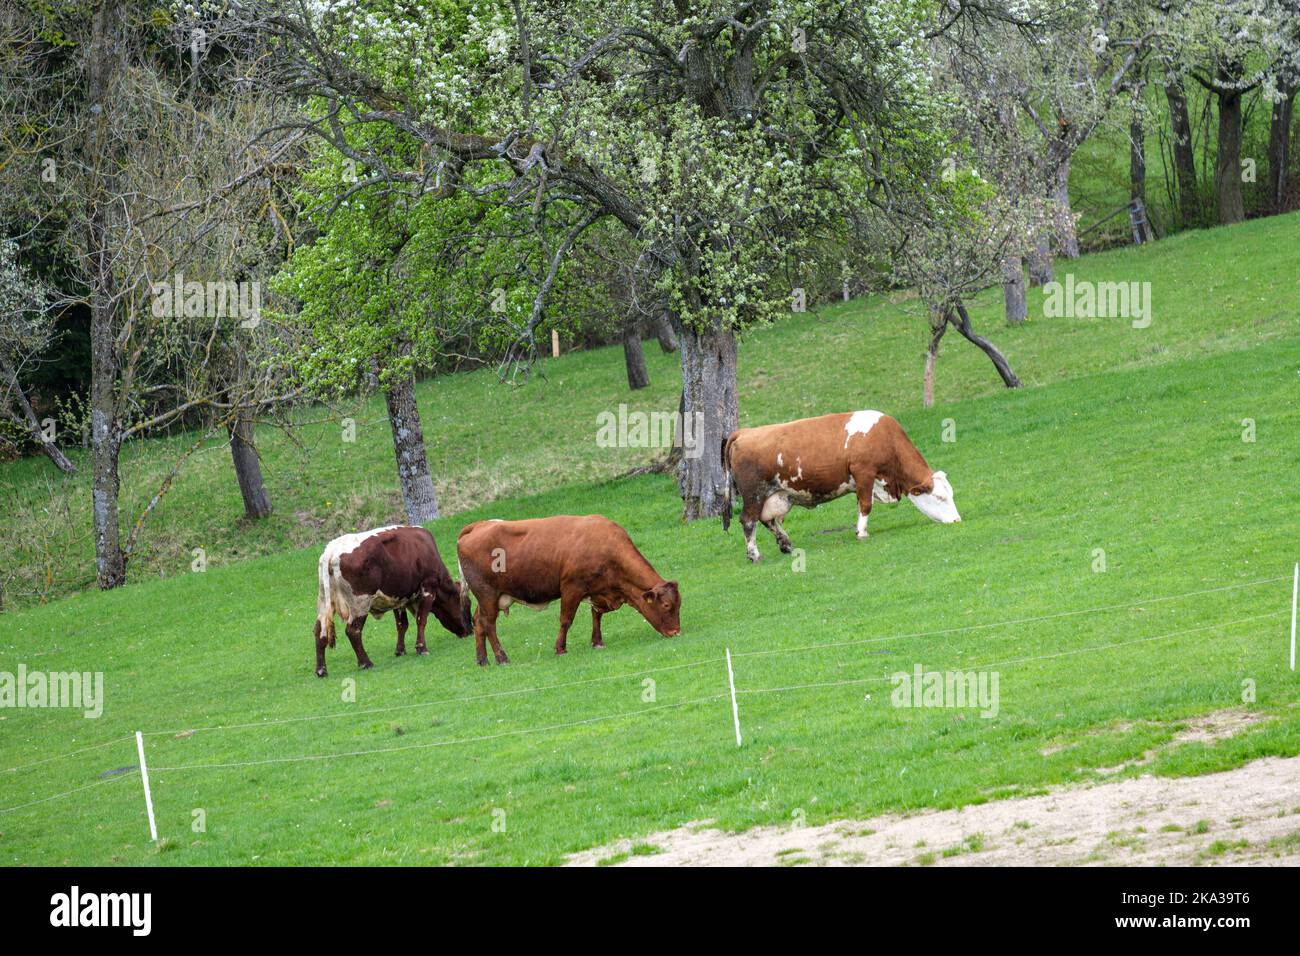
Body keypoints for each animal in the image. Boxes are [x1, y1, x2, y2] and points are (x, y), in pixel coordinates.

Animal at [313, 525, 473, 677]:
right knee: (353, 631)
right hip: (360, 604)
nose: (470, 631)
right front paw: (421, 648)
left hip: (324, 604)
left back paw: (321, 670)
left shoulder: (398, 598)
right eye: (467, 605)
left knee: (319, 632)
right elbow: (421, 620)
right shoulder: (428, 587)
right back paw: (366, 663)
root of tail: (331, 551)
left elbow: (402, 625)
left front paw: (400, 650)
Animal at [456, 515, 681, 666]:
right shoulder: (572, 587)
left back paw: (482, 659)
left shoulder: (598, 591)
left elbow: (596, 615)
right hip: (487, 594)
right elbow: (566, 619)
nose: (676, 632)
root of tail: (478, 525)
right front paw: (560, 648)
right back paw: (502, 657)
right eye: (666, 605)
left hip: (489, 598)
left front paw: (597, 641)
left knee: (479, 622)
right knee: (489, 624)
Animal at [722, 410, 960, 562]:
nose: (957, 520)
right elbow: (866, 505)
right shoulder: (864, 472)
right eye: (940, 497)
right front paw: (861, 532)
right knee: (749, 521)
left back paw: (785, 543)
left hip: (774, 495)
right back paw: (754, 554)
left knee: (767, 520)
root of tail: (745, 432)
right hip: (754, 493)